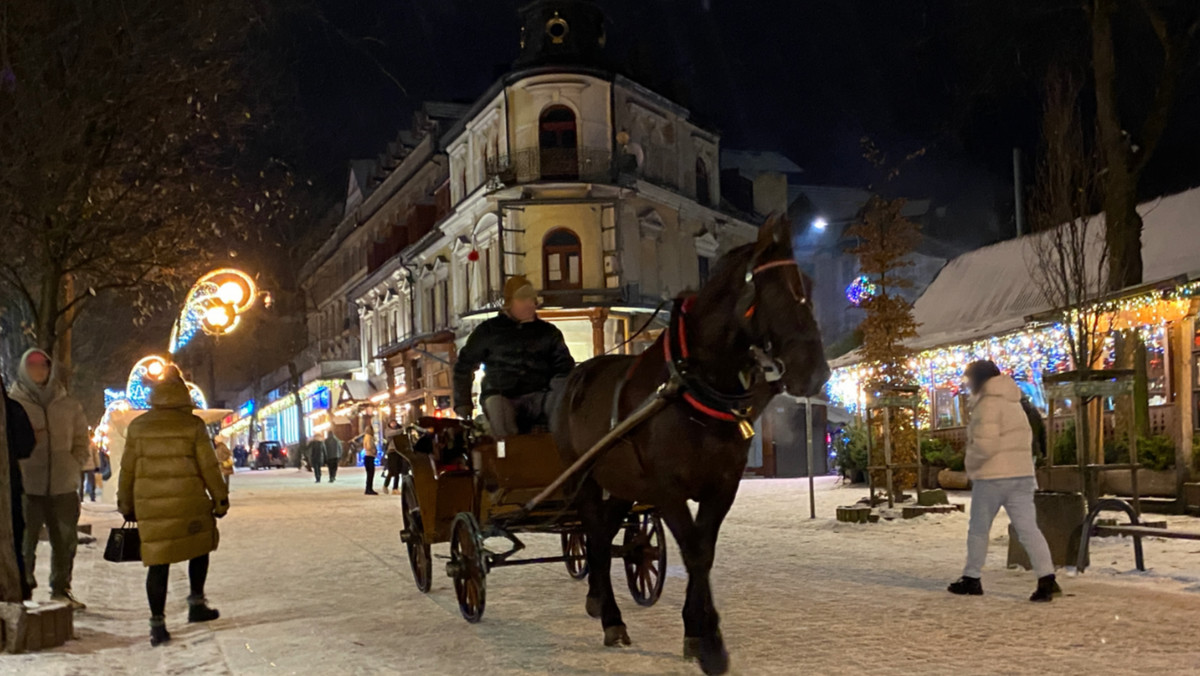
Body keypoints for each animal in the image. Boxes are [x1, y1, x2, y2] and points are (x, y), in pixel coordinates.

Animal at [549, 213, 825, 672]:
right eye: (773, 288)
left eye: (807, 283)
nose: (815, 371)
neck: (691, 388)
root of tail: (575, 376)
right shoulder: (666, 490)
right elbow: (694, 552)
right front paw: (710, 643)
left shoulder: (722, 486)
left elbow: (704, 552)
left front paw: (697, 631)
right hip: (584, 479)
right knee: (592, 533)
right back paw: (611, 617)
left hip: (623, 485)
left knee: (602, 537)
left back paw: (600, 602)